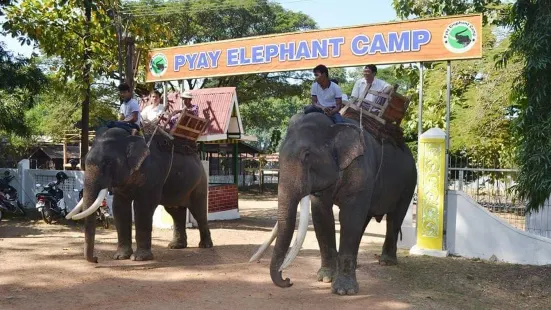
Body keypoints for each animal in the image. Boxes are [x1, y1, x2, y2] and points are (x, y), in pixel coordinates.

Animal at [67, 127, 213, 262]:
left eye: (108, 163)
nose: (96, 259)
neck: (130, 138)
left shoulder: (152, 175)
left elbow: (143, 207)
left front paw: (139, 258)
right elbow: (119, 207)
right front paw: (120, 257)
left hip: (200, 183)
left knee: (198, 212)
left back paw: (205, 246)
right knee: (175, 212)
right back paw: (176, 246)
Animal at [250, 113, 414, 296]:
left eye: (307, 155)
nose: (288, 280)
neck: (333, 125)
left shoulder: (360, 169)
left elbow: (350, 218)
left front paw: (345, 290)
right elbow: (322, 216)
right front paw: (325, 278)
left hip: (409, 183)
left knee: (394, 218)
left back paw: (387, 262)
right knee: (365, 219)